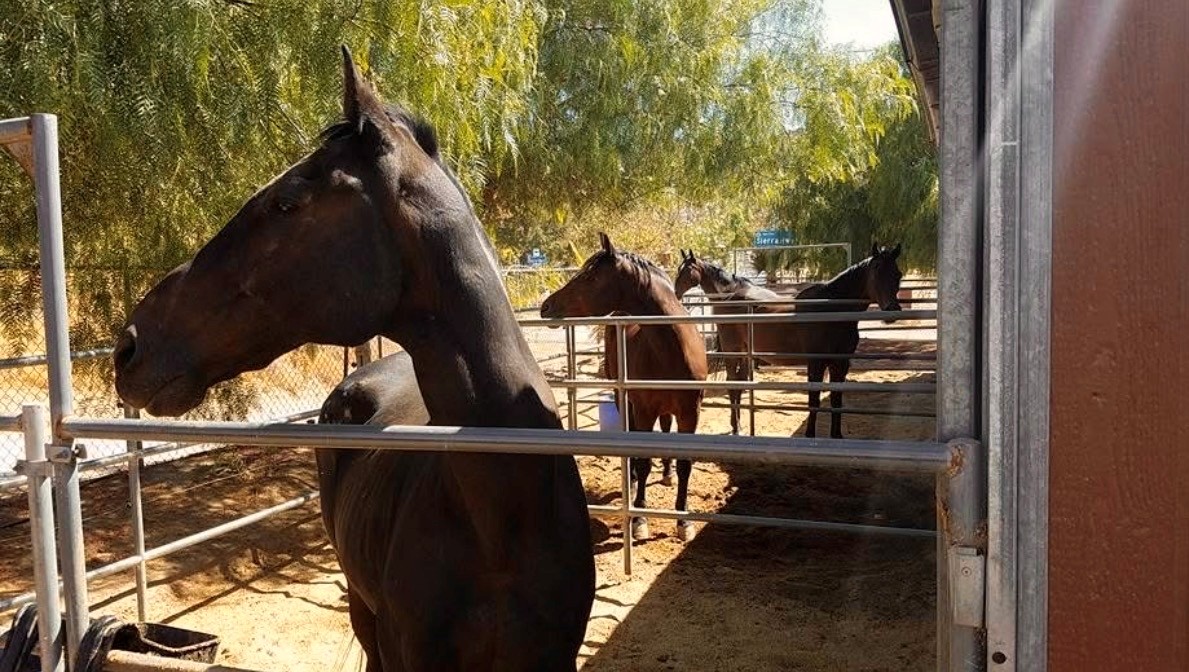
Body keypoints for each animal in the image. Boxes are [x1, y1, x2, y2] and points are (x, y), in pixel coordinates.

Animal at [541, 233, 708, 541]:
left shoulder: (690, 412)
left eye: (590, 276)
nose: (546, 306)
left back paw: (666, 474)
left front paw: (683, 520)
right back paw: (631, 483)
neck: (673, 350)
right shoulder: (643, 409)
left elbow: (685, 464)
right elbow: (643, 462)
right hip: (623, 397)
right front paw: (639, 518)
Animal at [674, 244, 904, 438]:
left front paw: (836, 436)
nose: (892, 310)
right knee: (733, 386)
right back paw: (737, 427)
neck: (830, 310)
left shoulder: (841, 363)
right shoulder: (816, 363)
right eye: (876, 271)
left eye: (898, 274)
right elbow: (814, 400)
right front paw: (810, 435)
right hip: (733, 351)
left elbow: (836, 400)